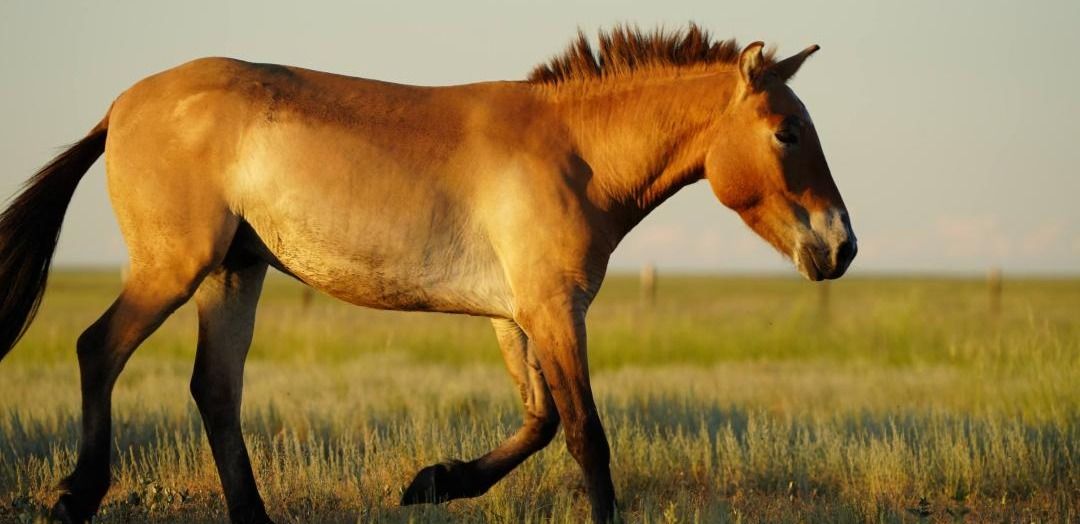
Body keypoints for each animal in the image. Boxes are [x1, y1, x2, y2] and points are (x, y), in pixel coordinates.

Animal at [0, 24, 856, 523]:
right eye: (787, 131)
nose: (842, 247)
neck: (572, 153)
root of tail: (121, 106)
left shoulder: (515, 316)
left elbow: (541, 423)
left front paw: (434, 482)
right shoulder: (555, 310)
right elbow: (587, 436)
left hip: (233, 273)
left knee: (214, 390)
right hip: (175, 268)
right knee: (98, 349)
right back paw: (76, 494)